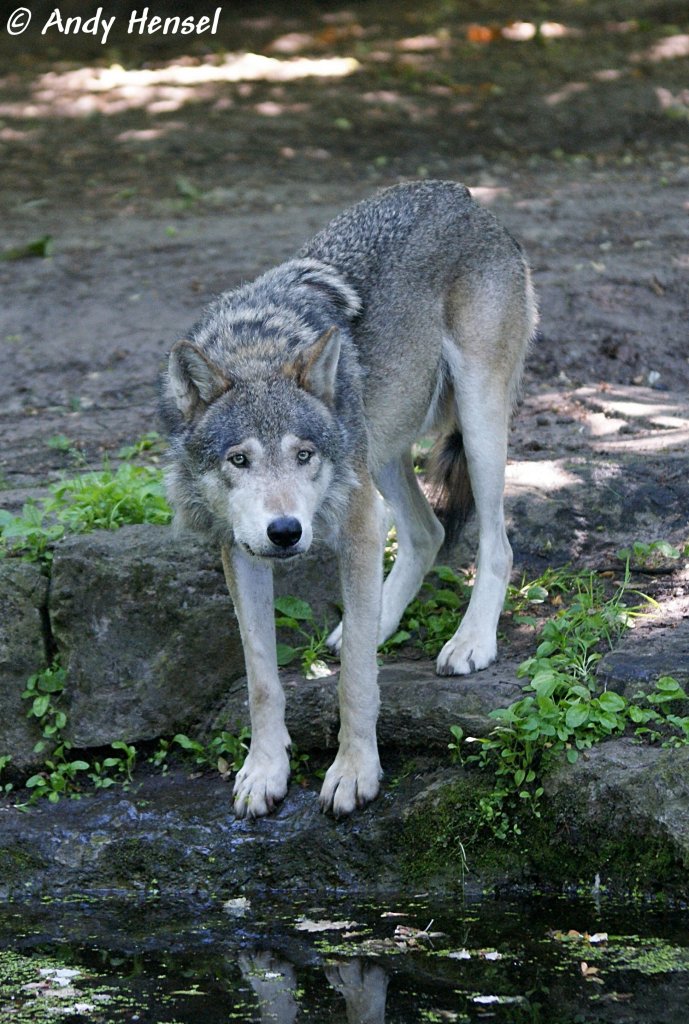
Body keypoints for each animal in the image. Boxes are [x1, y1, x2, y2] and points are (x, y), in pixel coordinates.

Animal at [159, 184, 536, 819]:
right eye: (239, 460)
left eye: (304, 454)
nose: (285, 531)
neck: (258, 347)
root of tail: (462, 195)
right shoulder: (240, 550)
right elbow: (262, 679)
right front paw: (265, 770)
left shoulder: (358, 525)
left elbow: (356, 679)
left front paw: (355, 771)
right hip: (379, 447)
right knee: (428, 533)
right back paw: (381, 619)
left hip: (476, 420)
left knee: (496, 544)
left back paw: (470, 642)